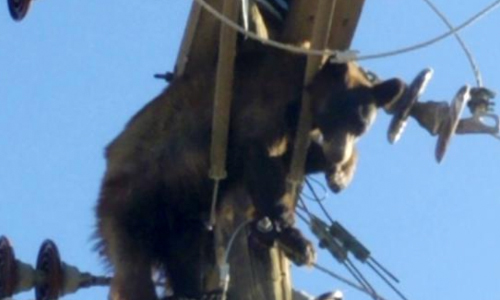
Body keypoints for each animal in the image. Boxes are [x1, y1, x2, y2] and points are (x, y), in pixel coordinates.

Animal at [95, 46, 404, 298]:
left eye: (360, 127)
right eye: (340, 115)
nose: (338, 154)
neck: (302, 93)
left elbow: (290, 156)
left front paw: (340, 173)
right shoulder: (265, 101)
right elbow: (262, 160)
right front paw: (293, 236)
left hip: (180, 216)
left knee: (185, 254)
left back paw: (190, 291)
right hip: (132, 204)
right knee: (133, 270)